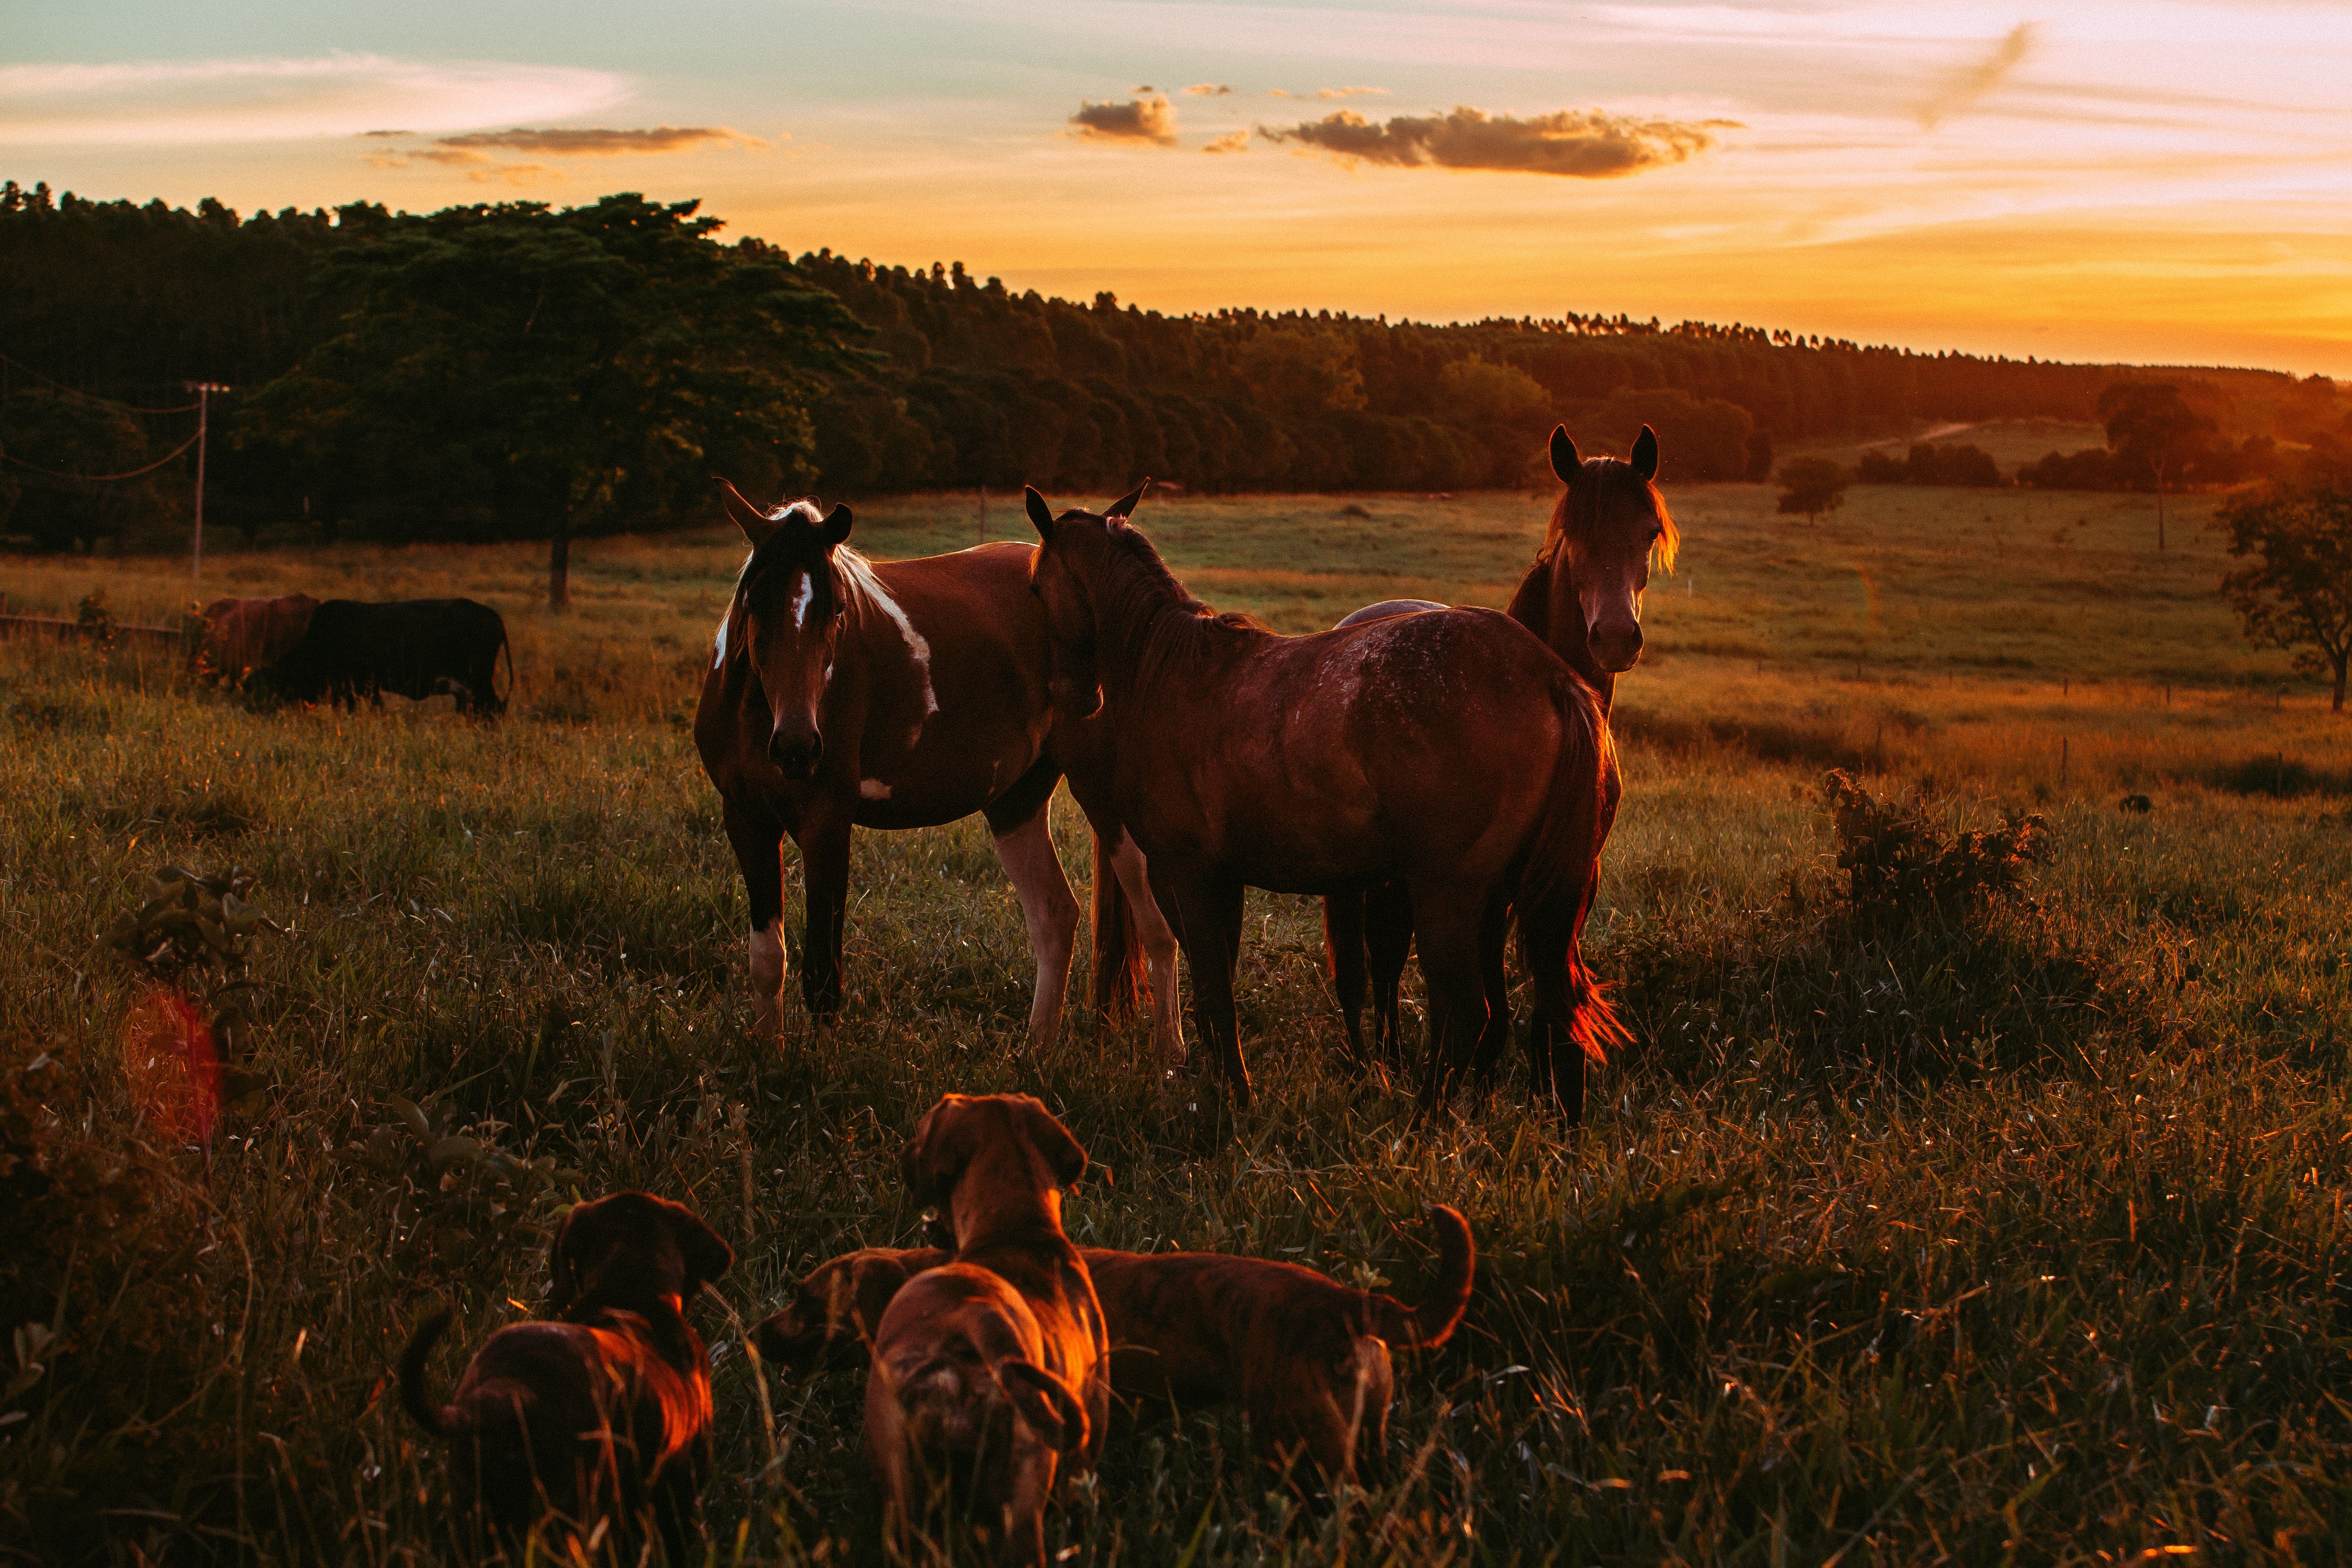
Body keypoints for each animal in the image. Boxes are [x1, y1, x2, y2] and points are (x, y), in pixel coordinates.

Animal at [695, 485, 1095, 1050]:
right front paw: (769, 1054)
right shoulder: (747, 820)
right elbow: (768, 960)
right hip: (1016, 801)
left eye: (838, 609)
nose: (798, 747)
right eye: (756, 602)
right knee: (1055, 916)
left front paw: (816, 1065)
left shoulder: (826, 824)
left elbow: (824, 972)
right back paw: (1037, 1049)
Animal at [1026, 482, 1619, 1114]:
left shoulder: (1187, 875)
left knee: (1465, 1016)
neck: (1171, 673)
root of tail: (1551, 677)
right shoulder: (1222, 880)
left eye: (1036, 588)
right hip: (1520, 900)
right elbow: (1218, 996)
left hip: (1451, 894)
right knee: (1549, 1012)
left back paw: (1421, 1125)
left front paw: (1236, 1101)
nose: (1074, 697)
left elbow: (1214, 996)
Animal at [1321, 424, 1675, 1119]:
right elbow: (1493, 1008)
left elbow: (1547, 1006)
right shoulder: (1486, 891)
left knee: (1388, 957)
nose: (1615, 636)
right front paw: (1480, 1093)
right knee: (1365, 968)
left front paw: (1545, 1096)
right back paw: (1376, 1065)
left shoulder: (1574, 879)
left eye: (1649, 531)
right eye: (1572, 532)